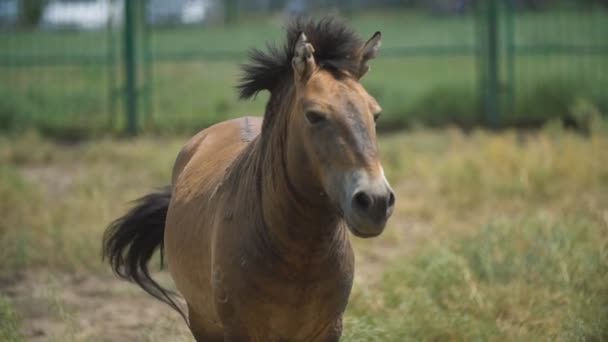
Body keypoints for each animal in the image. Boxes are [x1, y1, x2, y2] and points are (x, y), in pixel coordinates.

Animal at [102, 18, 396, 342]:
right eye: (314, 115)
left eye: (376, 114)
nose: (375, 202)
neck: (299, 256)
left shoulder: (328, 329)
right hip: (202, 322)